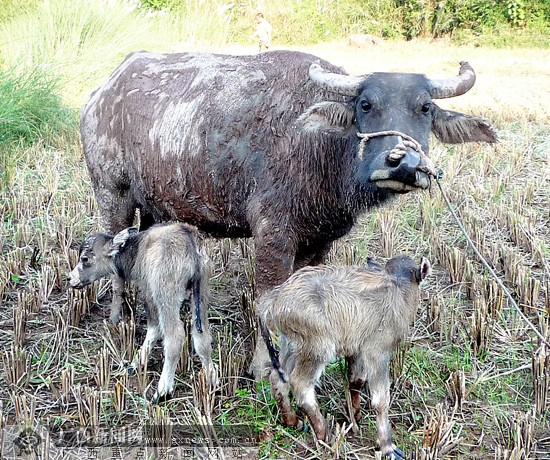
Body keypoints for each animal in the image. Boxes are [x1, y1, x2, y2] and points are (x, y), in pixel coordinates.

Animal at [68, 222, 216, 398]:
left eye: (85, 258)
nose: (70, 278)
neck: (137, 250)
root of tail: (191, 244)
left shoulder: (149, 292)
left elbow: (154, 328)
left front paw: (135, 363)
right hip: (201, 294)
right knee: (202, 337)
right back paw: (211, 381)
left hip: (166, 296)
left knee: (175, 336)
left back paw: (163, 391)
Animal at [80, 49, 498, 328]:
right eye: (365, 104)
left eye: (425, 108)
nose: (404, 164)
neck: (322, 149)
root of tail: (103, 91)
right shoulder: (273, 235)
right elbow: (268, 299)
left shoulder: (321, 242)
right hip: (113, 195)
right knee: (113, 253)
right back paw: (119, 317)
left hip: (152, 207)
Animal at [258, 253, 432, 458]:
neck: (398, 286)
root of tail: (276, 298)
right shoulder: (377, 352)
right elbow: (380, 400)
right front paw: (387, 446)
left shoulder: (357, 351)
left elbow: (355, 381)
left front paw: (355, 415)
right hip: (316, 349)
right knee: (301, 386)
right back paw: (325, 434)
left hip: (291, 347)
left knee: (278, 379)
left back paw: (292, 421)